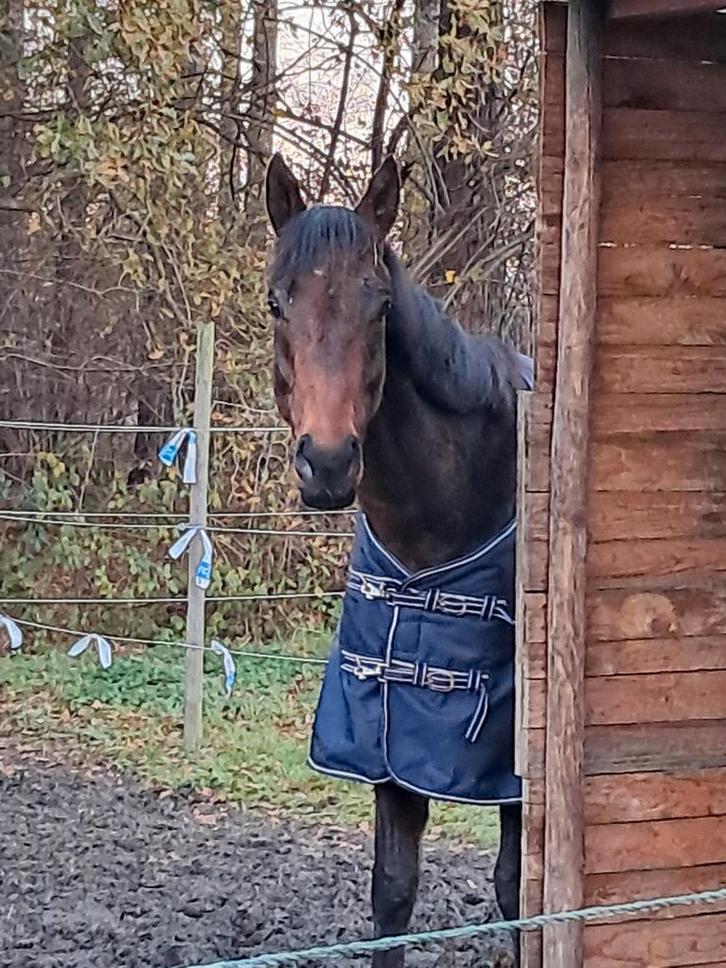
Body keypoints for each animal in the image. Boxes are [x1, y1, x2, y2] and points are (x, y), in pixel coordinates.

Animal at [264, 153, 528, 967]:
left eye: (379, 306)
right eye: (276, 302)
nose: (325, 463)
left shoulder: (513, 771)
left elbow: (519, 895)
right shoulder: (390, 743)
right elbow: (393, 892)